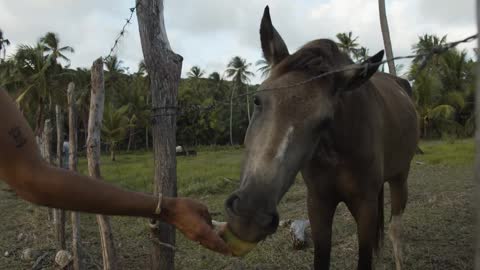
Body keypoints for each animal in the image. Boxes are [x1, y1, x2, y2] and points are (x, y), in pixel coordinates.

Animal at [224, 6, 416, 270]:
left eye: (324, 121)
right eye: (257, 100)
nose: (250, 215)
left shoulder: (365, 207)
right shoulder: (318, 204)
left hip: (400, 178)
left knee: (395, 229)